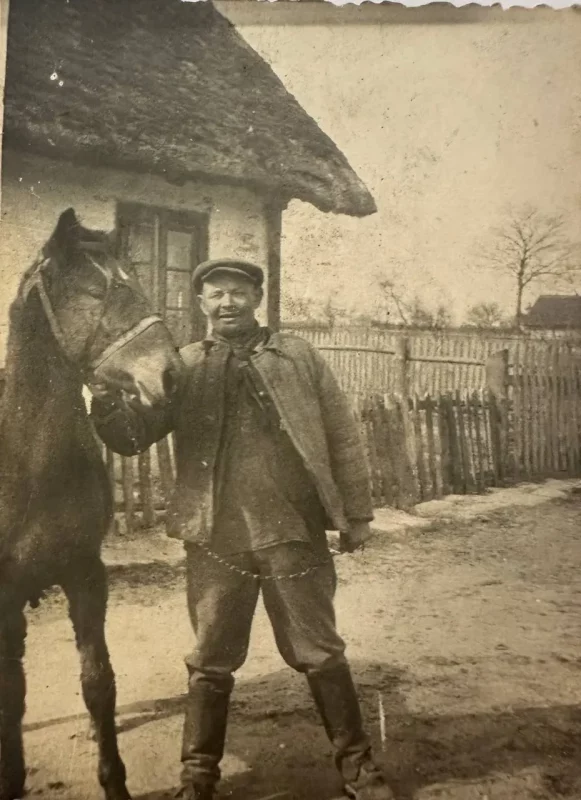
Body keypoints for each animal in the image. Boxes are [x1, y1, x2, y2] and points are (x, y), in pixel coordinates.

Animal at [0, 208, 182, 800]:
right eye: (94, 289)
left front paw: (114, 780)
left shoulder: (85, 575)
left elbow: (98, 682)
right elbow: (13, 695)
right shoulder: (6, 595)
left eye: (138, 281)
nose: (170, 376)